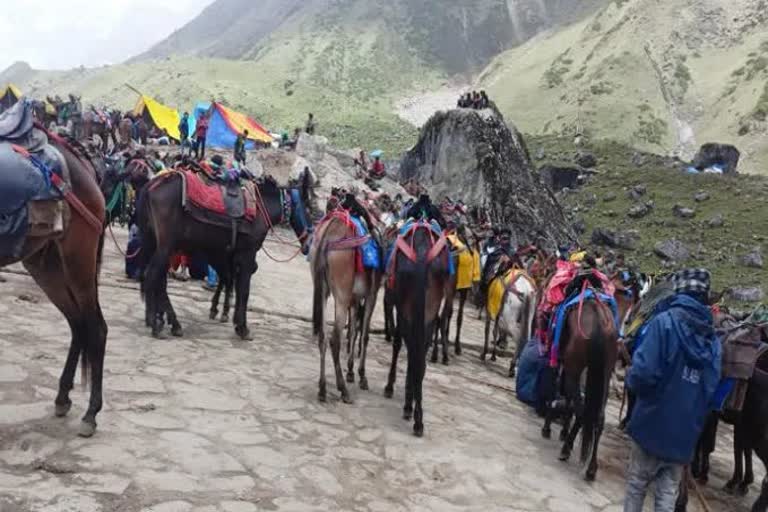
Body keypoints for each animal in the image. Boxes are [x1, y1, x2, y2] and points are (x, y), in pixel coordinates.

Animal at [0, 126, 108, 434]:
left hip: (78, 260)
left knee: (95, 327)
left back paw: (91, 414)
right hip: (46, 267)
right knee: (78, 323)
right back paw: (62, 398)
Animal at [140, 172, 310, 340]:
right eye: (309, 207)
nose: (309, 246)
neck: (260, 209)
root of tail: (153, 184)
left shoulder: (230, 256)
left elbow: (231, 282)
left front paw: (229, 317)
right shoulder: (247, 255)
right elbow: (243, 290)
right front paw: (242, 328)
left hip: (157, 245)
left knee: (158, 281)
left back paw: (163, 321)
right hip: (166, 247)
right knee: (152, 277)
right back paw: (158, 325)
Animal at [310, 210, 382, 402]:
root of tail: (327, 235)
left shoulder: (355, 299)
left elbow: (354, 332)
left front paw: (350, 370)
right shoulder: (371, 295)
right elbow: (364, 335)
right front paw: (361, 375)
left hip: (323, 290)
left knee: (323, 336)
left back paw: (322, 388)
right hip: (342, 294)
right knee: (335, 339)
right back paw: (343, 389)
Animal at [382, 221, 450, 436]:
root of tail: (421, 250)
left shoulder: (397, 305)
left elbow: (398, 343)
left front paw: (391, 386)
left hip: (405, 306)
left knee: (410, 347)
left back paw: (409, 408)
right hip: (429, 308)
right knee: (419, 353)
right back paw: (417, 416)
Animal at [540, 296, 616, 480]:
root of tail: (599, 321)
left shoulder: (559, 361)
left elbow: (556, 391)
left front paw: (548, 428)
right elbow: (568, 400)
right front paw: (563, 431)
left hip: (575, 367)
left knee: (581, 411)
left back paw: (566, 450)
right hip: (604, 374)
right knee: (598, 417)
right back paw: (592, 468)